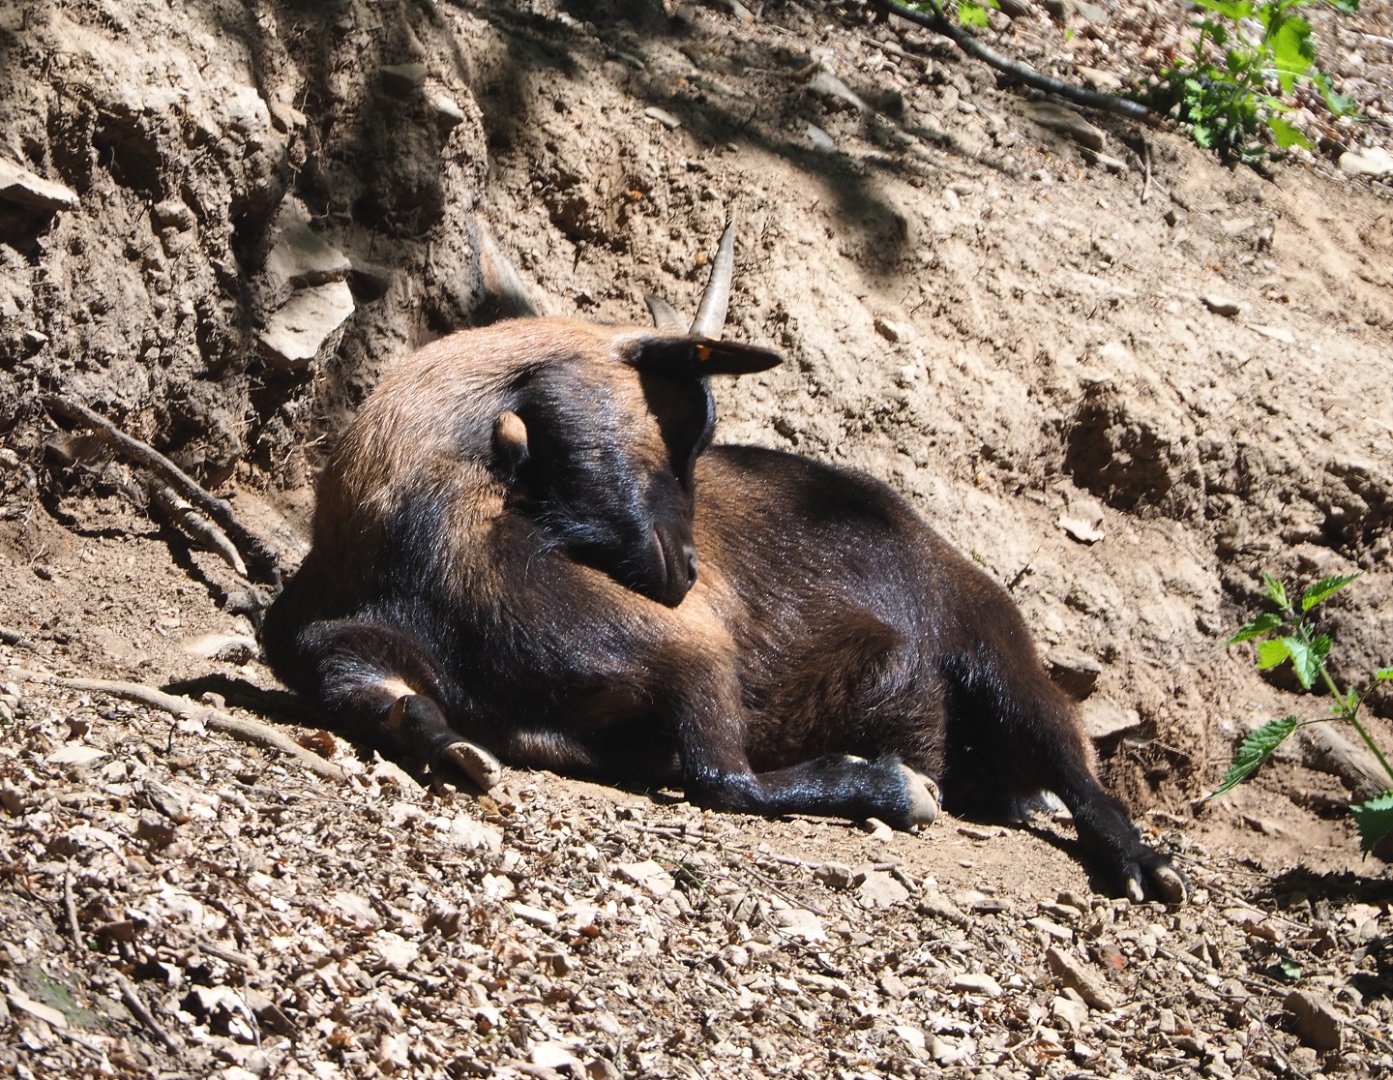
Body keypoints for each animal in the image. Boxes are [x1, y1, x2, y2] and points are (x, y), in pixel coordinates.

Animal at [263, 223, 1186, 902]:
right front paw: (447, 744)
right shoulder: (341, 639)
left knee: (1075, 766)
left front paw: (889, 787)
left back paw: (1141, 863)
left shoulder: (692, 652)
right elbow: (367, 686)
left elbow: (723, 778)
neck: (414, 547)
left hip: (992, 645)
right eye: (683, 423)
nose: (684, 573)